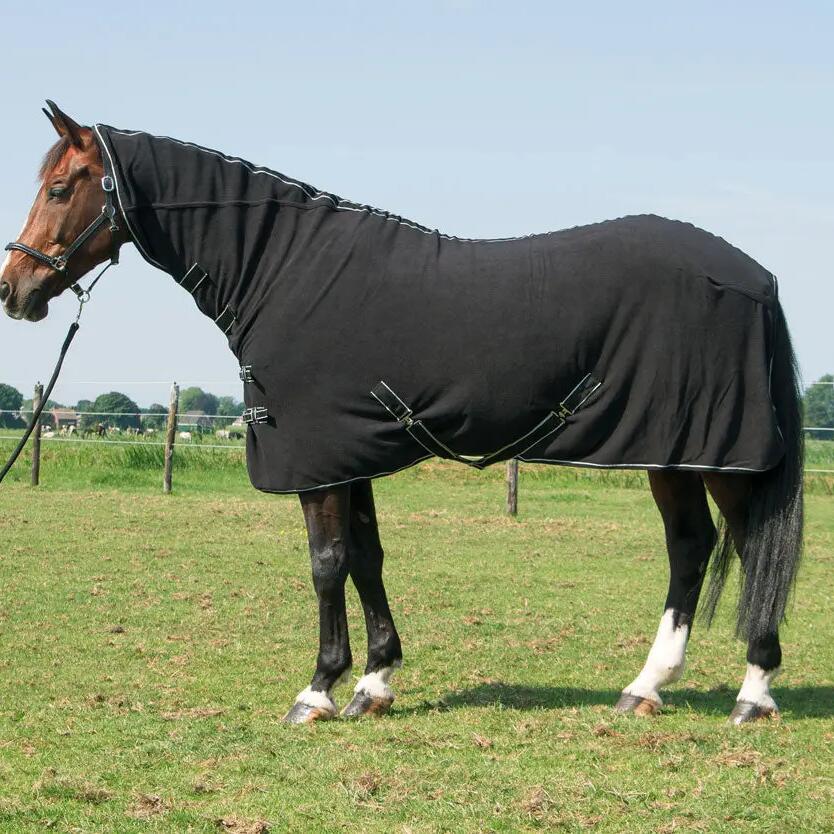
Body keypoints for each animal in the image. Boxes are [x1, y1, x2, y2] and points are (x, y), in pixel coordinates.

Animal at [1, 101, 803, 725]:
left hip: (714, 453)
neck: (286, 272)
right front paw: (374, 682)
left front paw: (318, 690)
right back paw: (645, 688)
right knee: (692, 547)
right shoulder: (347, 451)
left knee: (743, 544)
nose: (14, 288)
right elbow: (366, 558)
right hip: (674, 453)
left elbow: (326, 565)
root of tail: (755, 276)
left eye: (61, 186)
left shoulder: (317, 460)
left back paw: (753, 693)